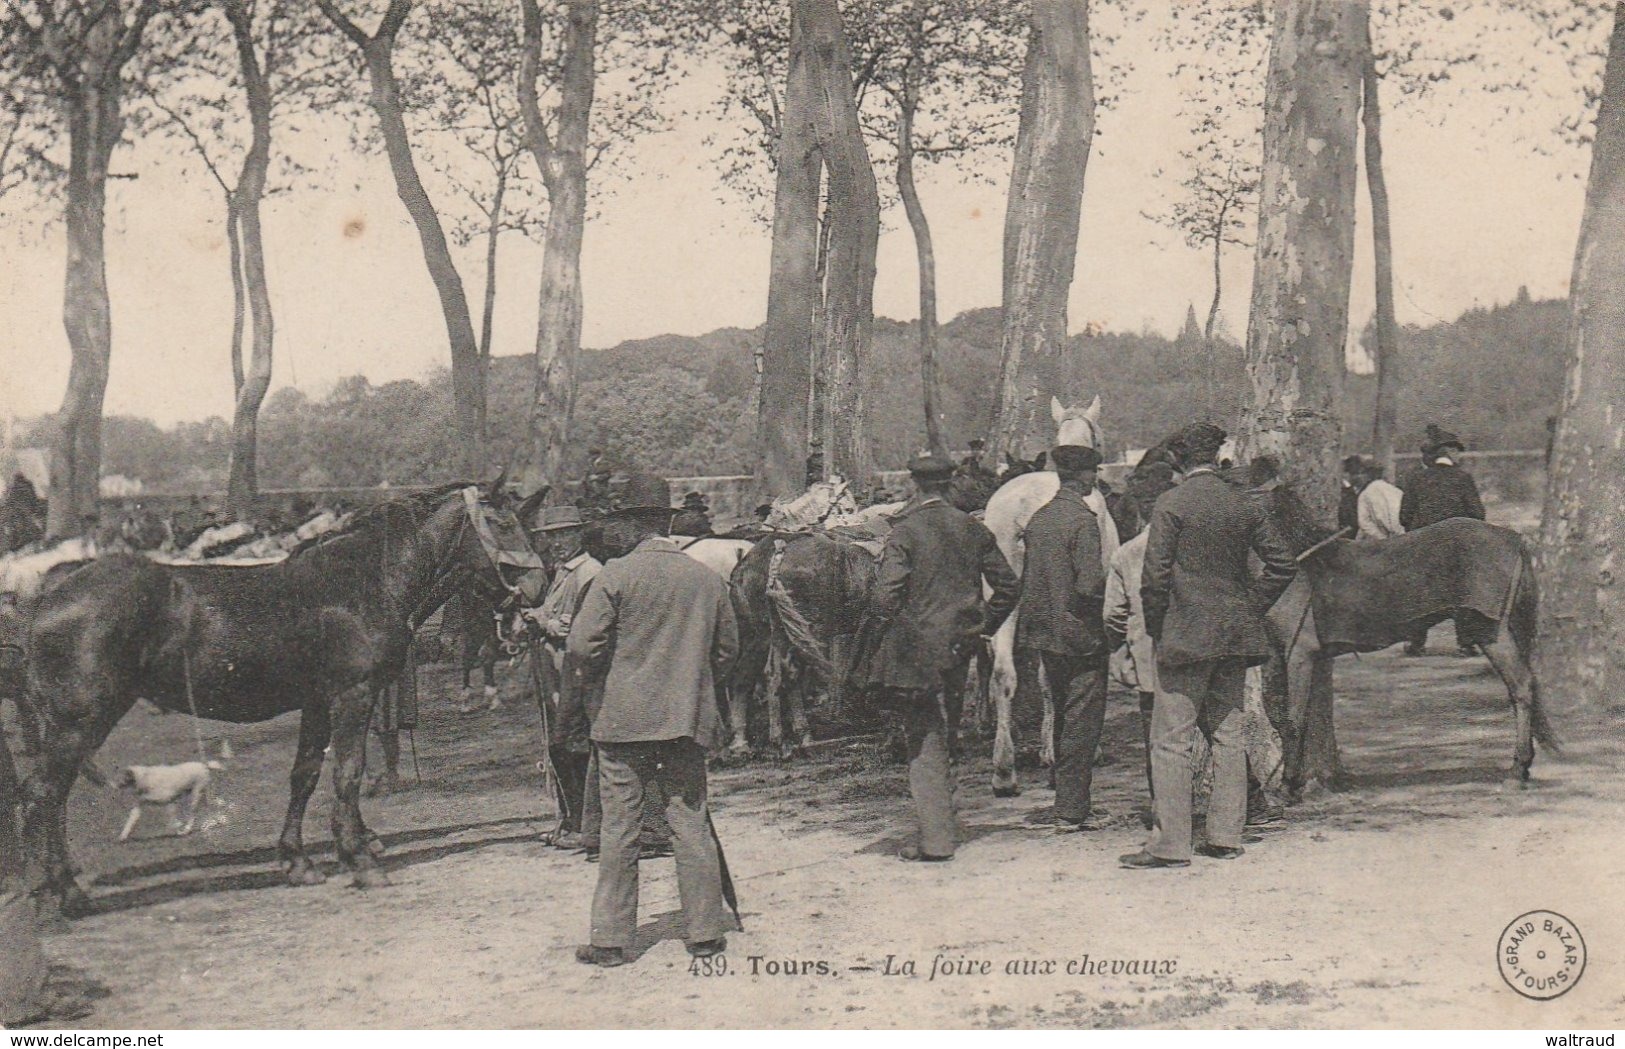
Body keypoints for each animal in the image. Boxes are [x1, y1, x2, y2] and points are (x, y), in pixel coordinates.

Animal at [19, 480, 536, 915]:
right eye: (503, 522)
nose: (539, 585)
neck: (365, 581)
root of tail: (46, 596)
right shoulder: (353, 695)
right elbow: (348, 773)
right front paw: (361, 861)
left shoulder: (318, 703)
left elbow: (305, 776)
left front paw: (298, 862)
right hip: (78, 721)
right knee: (45, 794)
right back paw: (66, 894)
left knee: (47, 796)